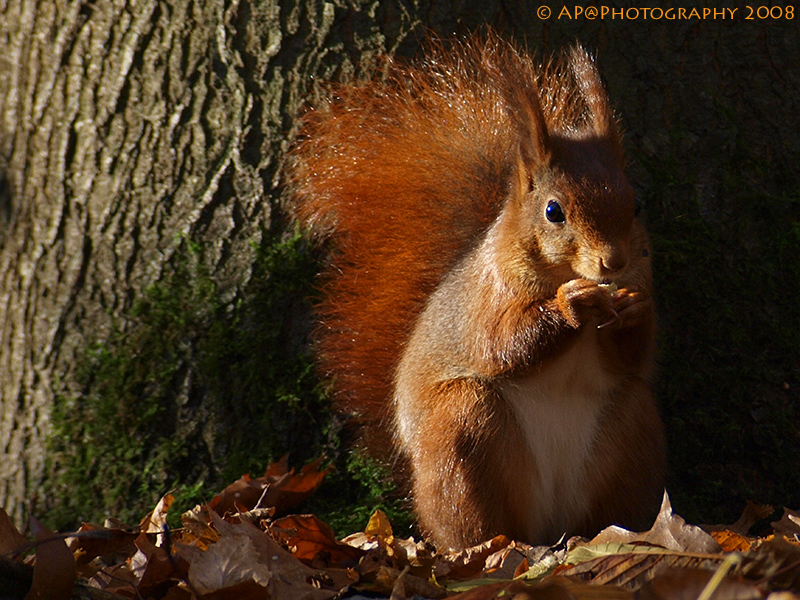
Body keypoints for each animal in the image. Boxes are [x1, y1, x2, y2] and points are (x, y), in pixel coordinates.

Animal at [284, 32, 664, 548]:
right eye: (553, 211)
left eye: (636, 203)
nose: (615, 262)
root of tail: (548, 527)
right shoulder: (487, 299)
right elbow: (501, 343)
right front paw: (572, 304)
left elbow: (631, 356)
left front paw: (634, 309)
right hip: (462, 427)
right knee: (472, 520)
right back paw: (486, 544)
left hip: (631, 432)